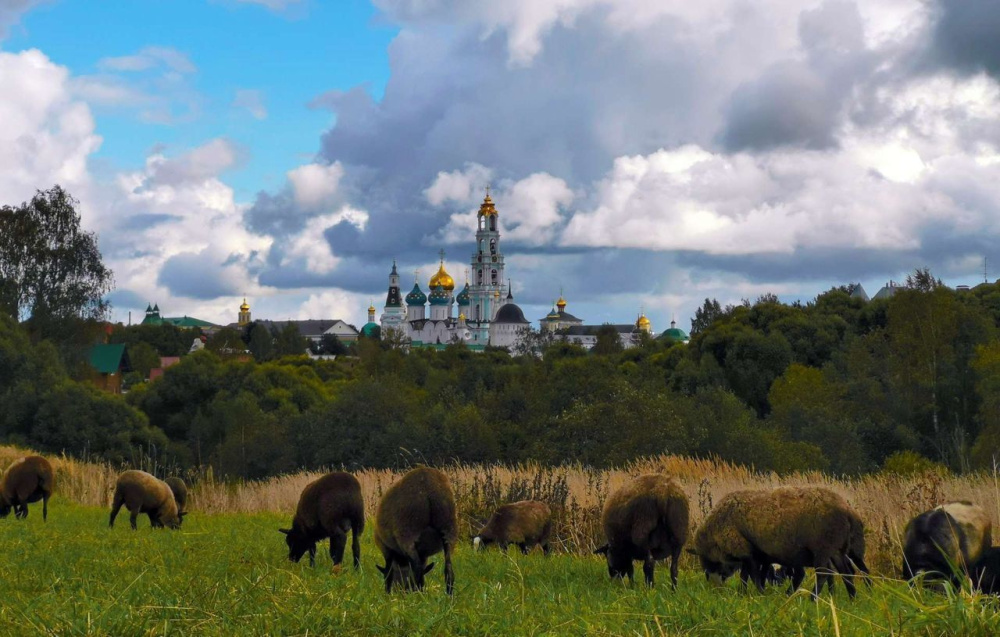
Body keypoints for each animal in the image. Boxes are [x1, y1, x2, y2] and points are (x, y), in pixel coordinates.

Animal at [374, 464, 458, 592]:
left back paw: (417, 593)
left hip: (407, 532)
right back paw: (448, 595)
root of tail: (428, 484)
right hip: (449, 529)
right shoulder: (422, 554)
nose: (400, 590)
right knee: (449, 569)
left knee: (417, 568)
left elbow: (388, 572)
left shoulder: (386, 549)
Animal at [688, 486, 868, 596]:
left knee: (824, 574)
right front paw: (743, 593)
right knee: (847, 572)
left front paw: (760, 593)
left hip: (823, 548)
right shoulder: (753, 552)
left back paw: (812, 599)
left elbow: (753, 575)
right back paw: (852, 598)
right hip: (837, 548)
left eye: (710, 564)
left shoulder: (744, 549)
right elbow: (747, 575)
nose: (716, 588)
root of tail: (847, 509)